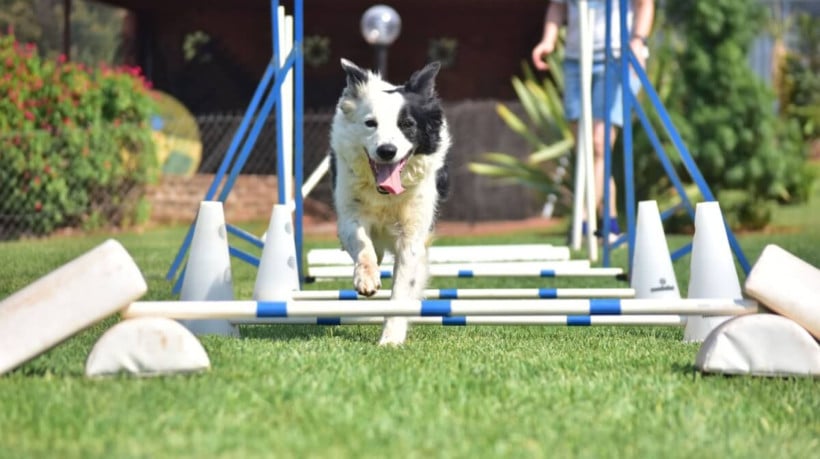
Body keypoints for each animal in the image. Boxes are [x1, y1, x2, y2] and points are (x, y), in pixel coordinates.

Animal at [330, 58, 452, 344]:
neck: (385, 195)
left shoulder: (412, 233)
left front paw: (391, 338)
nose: (387, 151)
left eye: (407, 124)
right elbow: (362, 244)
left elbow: (402, 289)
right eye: (370, 123)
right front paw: (366, 278)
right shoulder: (350, 213)